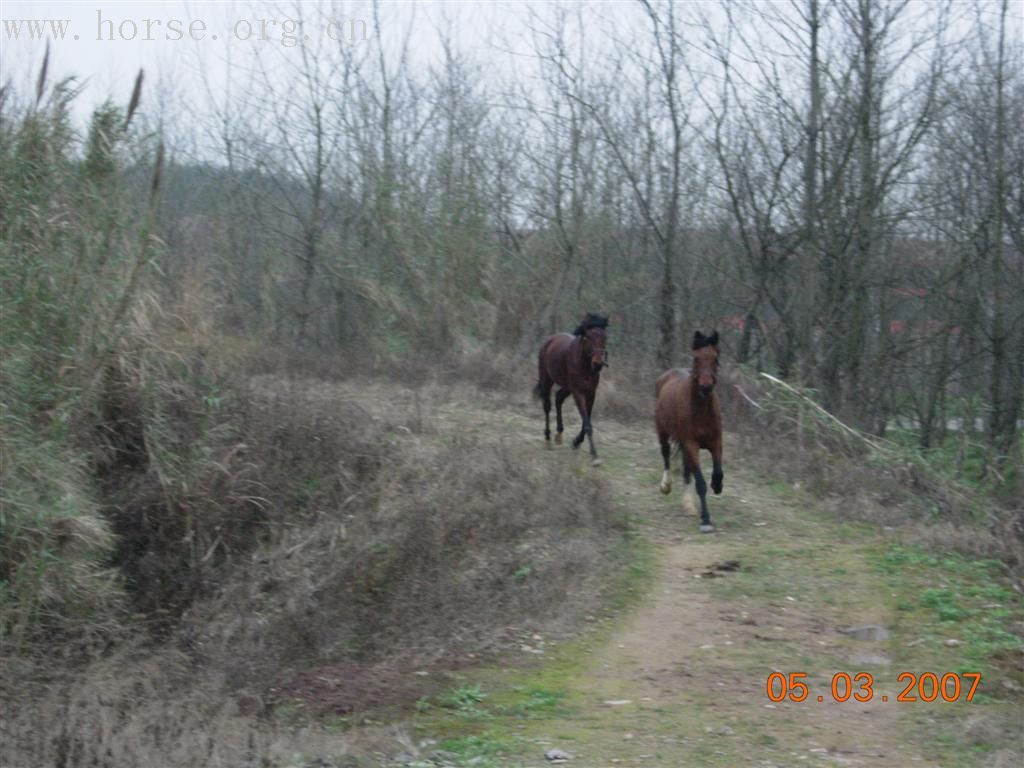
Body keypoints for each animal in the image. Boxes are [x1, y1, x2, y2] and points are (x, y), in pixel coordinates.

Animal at [536, 313, 606, 468]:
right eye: (588, 337)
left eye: (605, 337)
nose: (598, 364)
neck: (584, 364)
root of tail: (548, 341)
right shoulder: (578, 393)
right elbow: (587, 424)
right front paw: (595, 456)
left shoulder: (591, 393)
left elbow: (587, 421)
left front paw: (576, 442)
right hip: (547, 379)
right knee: (547, 405)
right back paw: (548, 437)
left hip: (567, 387)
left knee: (558, 398)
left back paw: (559, 434)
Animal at [651, 331, 724, 536]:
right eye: (696, 358)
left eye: (715, 358)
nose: (706, 386)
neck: (701, 410)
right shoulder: (691, 443)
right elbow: (700, 483)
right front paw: (706, 520)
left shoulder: (716, 441)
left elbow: (717, 471)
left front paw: (717, 485)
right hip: (663, 432)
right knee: (666, 455)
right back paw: (666, 486)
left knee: (686, 469)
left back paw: (688, 504)